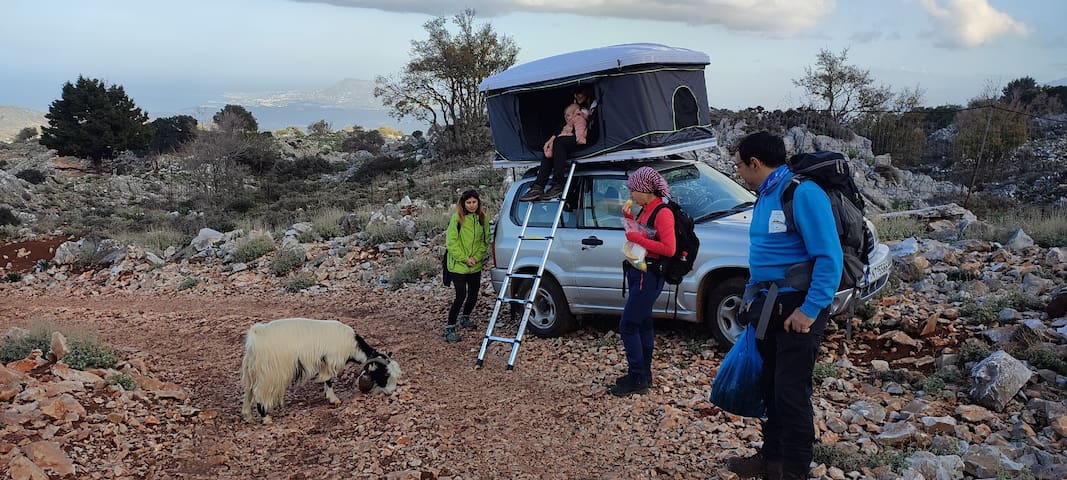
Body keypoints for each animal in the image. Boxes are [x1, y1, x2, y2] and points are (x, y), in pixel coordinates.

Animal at [240, 317, 401, 424]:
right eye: (384, 374)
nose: (391, 392)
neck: (352, 345)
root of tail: (256, 337)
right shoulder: (330, 361)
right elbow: (329, 380)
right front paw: (334, 400)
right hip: (270, 374)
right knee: (259, 393)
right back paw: (266, 418)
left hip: (252, 371)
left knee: (248, 391)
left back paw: (248, 417)